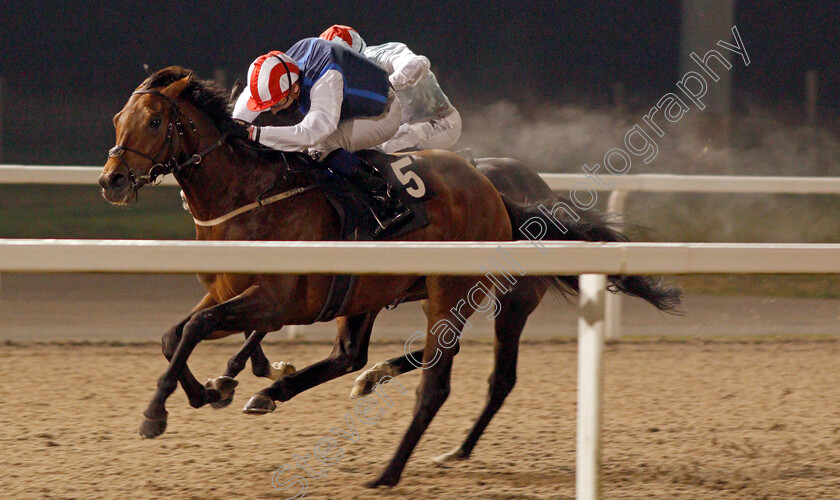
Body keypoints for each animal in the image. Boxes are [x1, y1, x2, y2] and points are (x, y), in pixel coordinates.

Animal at [98, 68, 684, 486]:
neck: (251, 197)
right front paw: (208, 390)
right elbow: (174, 334)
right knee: (354, 356)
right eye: (117, 119)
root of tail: (497, 193)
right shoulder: (224, 293)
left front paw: (158, 412)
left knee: (459, 378)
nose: (111, 181)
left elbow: (197, 332)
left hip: (473, 296)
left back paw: (393, 469)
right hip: (379, 292)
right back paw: (300, 389)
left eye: (155, 122)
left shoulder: (272, 300)